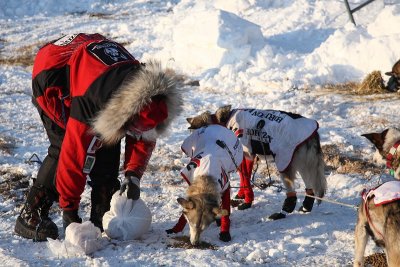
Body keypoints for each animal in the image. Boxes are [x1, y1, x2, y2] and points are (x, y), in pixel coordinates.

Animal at [186, 105, 326, 221]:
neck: (222, 123)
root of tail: (313, 133)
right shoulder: (245, 157)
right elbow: (244, 178)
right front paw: (241, 195)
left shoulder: (245, 155)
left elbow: (245, 179)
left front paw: (247, 201)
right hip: (304, 164)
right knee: (309, 187)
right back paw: (306, 206)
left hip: (285, 164)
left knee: (292, 195)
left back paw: (282, 212)